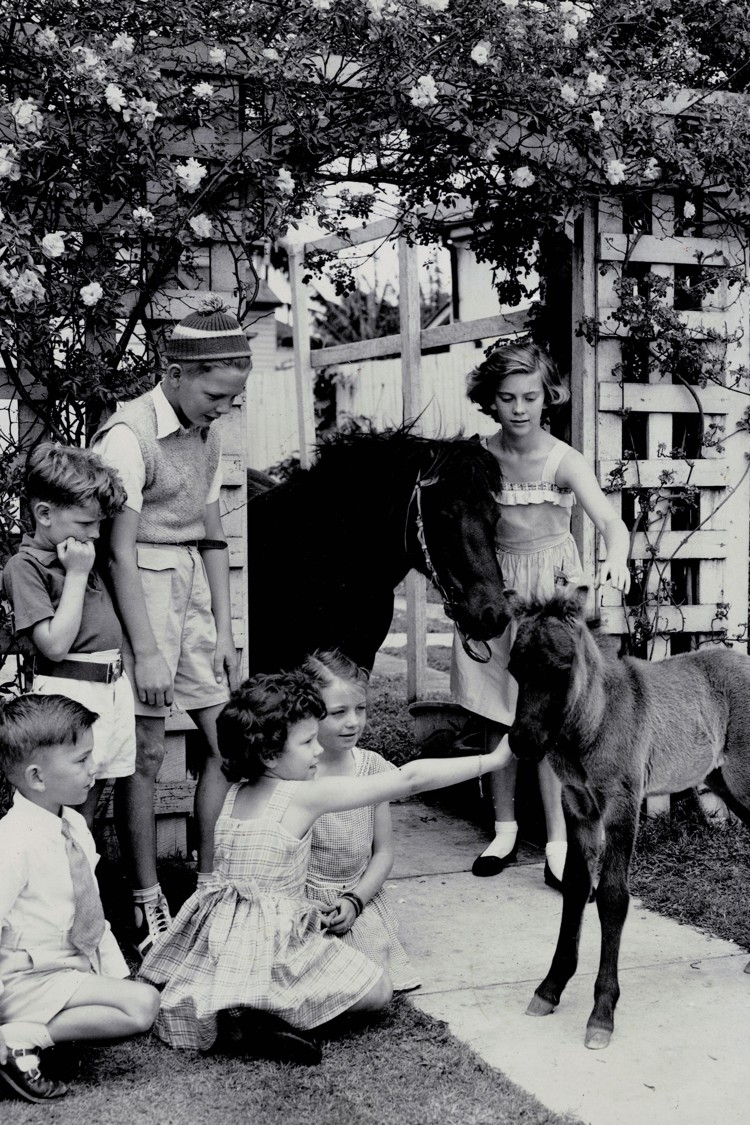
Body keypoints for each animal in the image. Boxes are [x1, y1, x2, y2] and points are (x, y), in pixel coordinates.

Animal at [505, 584, 750, 1050]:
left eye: (563, 667)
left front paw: (602, 1013)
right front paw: (549, 989)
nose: (523, 741)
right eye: (513, 668)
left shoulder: (622, 805)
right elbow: (577, 889)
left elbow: (613, 897)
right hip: (725, 782)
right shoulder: (578, 805)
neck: (596, 720)